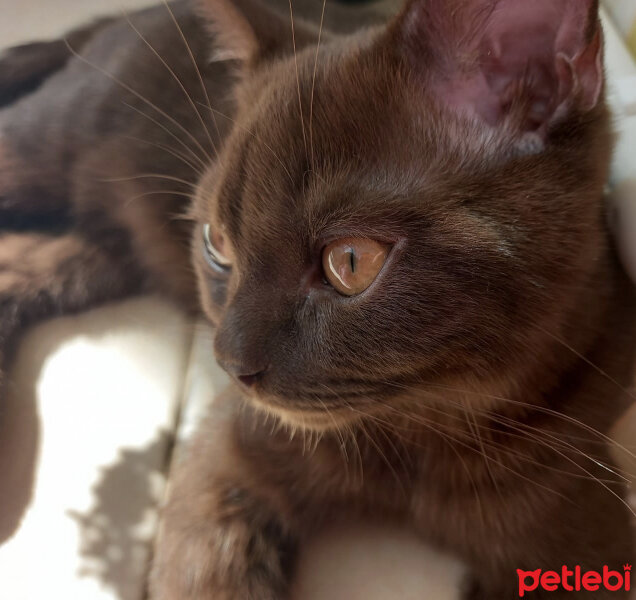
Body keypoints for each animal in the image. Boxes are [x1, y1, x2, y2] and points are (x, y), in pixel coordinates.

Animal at [0, 0, 632, 596]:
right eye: (217, 244)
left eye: (350, 261)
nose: (228, 362)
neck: (419, 446)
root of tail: (132, 15)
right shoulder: (226, 458)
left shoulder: (580, 550)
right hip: (35, 153)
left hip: (98, 253)